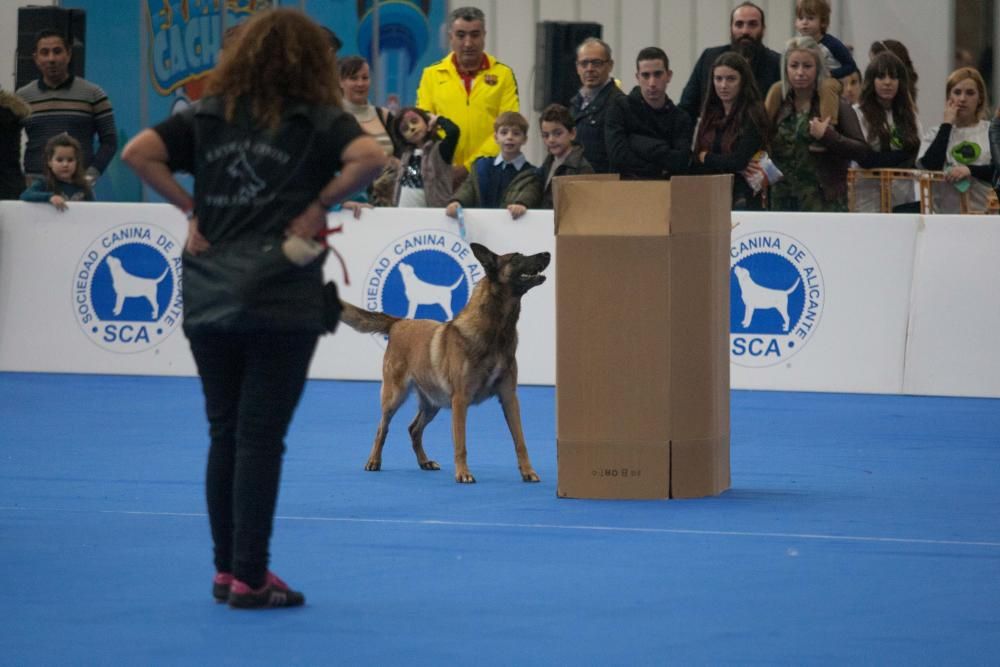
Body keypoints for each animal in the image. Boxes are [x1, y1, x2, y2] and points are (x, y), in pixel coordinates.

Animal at [340, 243, 552, 482]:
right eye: (516, 258)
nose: (547, 253)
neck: (496, 331)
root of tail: (399, 323)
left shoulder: (509, 398)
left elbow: (520, 441)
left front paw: (528, 471)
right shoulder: (460, 400)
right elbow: (461, 443)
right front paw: (463, 474)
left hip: (434, 403)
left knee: (414, 429)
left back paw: (424, 462)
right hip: (395, 397)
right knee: (382, 429)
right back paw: (374, 461)